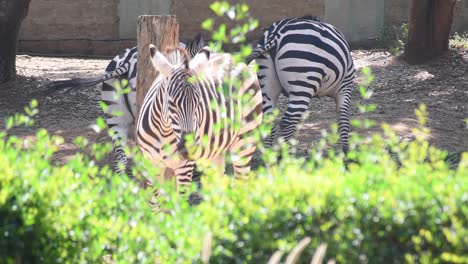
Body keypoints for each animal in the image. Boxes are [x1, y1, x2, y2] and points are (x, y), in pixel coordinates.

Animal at [137, 44, 264, 196]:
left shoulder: (185, 167)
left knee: (242, 184)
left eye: (198, 102)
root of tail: (235, 59)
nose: (189, 149)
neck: (164, 132)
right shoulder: (151, 165)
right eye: (171, 103)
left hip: (245, 141)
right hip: (215, 151)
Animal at [247, 16, 352, 153]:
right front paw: (346, 152)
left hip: (268, 86)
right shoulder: (345, 86)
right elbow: (344, 119)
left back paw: (269, 157)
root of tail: (275, 34)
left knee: (269, 122)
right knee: (287, 122)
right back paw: (287, 156)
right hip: (303, 86)